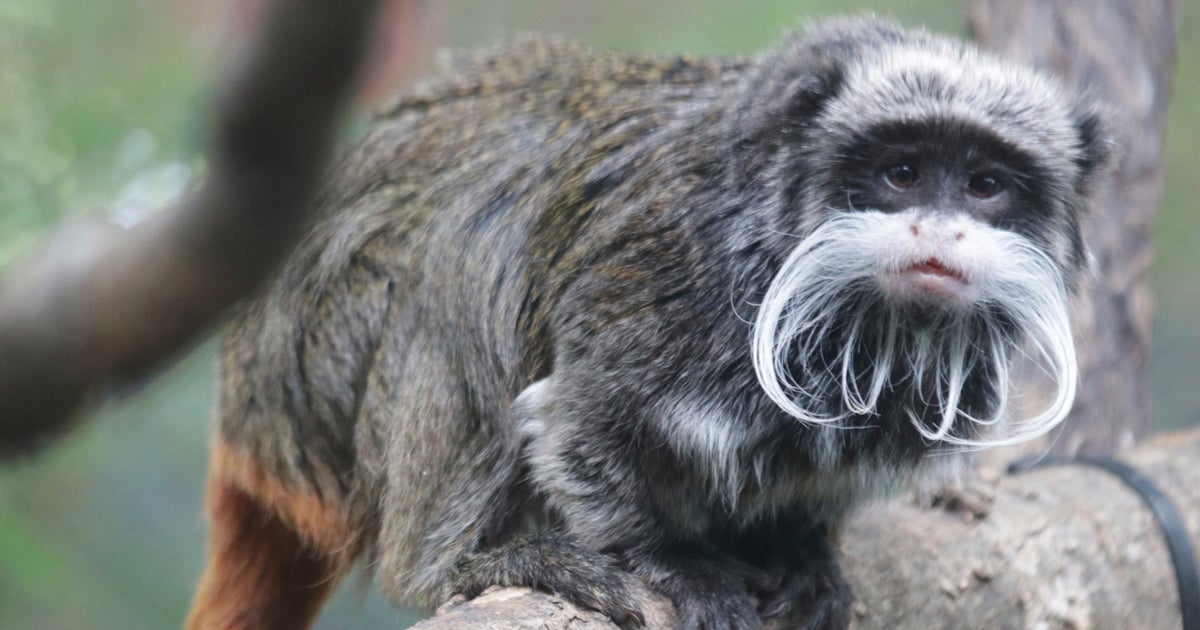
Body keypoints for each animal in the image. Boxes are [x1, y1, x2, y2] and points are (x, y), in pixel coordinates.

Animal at [185, 16, 1109, 630]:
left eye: (986, 185)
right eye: (901, 173)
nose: (940, 231)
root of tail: (245, 414)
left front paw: (802, 547)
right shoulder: (666, 283)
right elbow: (576, 425)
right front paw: (673, 561)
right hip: (318, 373)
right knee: (464, 259)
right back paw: (455, 563)